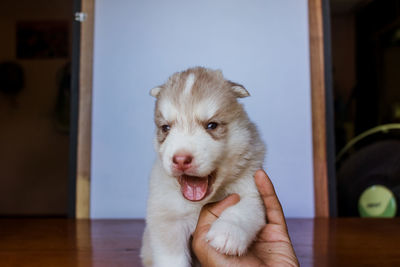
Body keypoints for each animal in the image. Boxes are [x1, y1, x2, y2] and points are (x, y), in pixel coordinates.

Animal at [141, 67, 266, 267]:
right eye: (166, 128)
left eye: (211, 125)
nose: (181, 159)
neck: (198, 204)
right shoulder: (165, 217)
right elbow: (171, 256)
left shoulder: (251, 187)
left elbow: (242, 207)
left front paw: (227, 234)